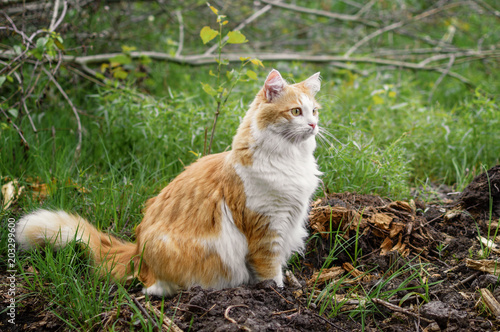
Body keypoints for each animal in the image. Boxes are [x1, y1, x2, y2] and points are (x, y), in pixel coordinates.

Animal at [15, 69, 322, 296]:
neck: (290, 158)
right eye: (296, 112)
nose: (313, 125)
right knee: (151, 288)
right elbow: (269, 270)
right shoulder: (266, 226)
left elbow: (279, 263)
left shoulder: (289, 221)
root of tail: (136, 249)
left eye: (314, 111)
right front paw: (276, 293)